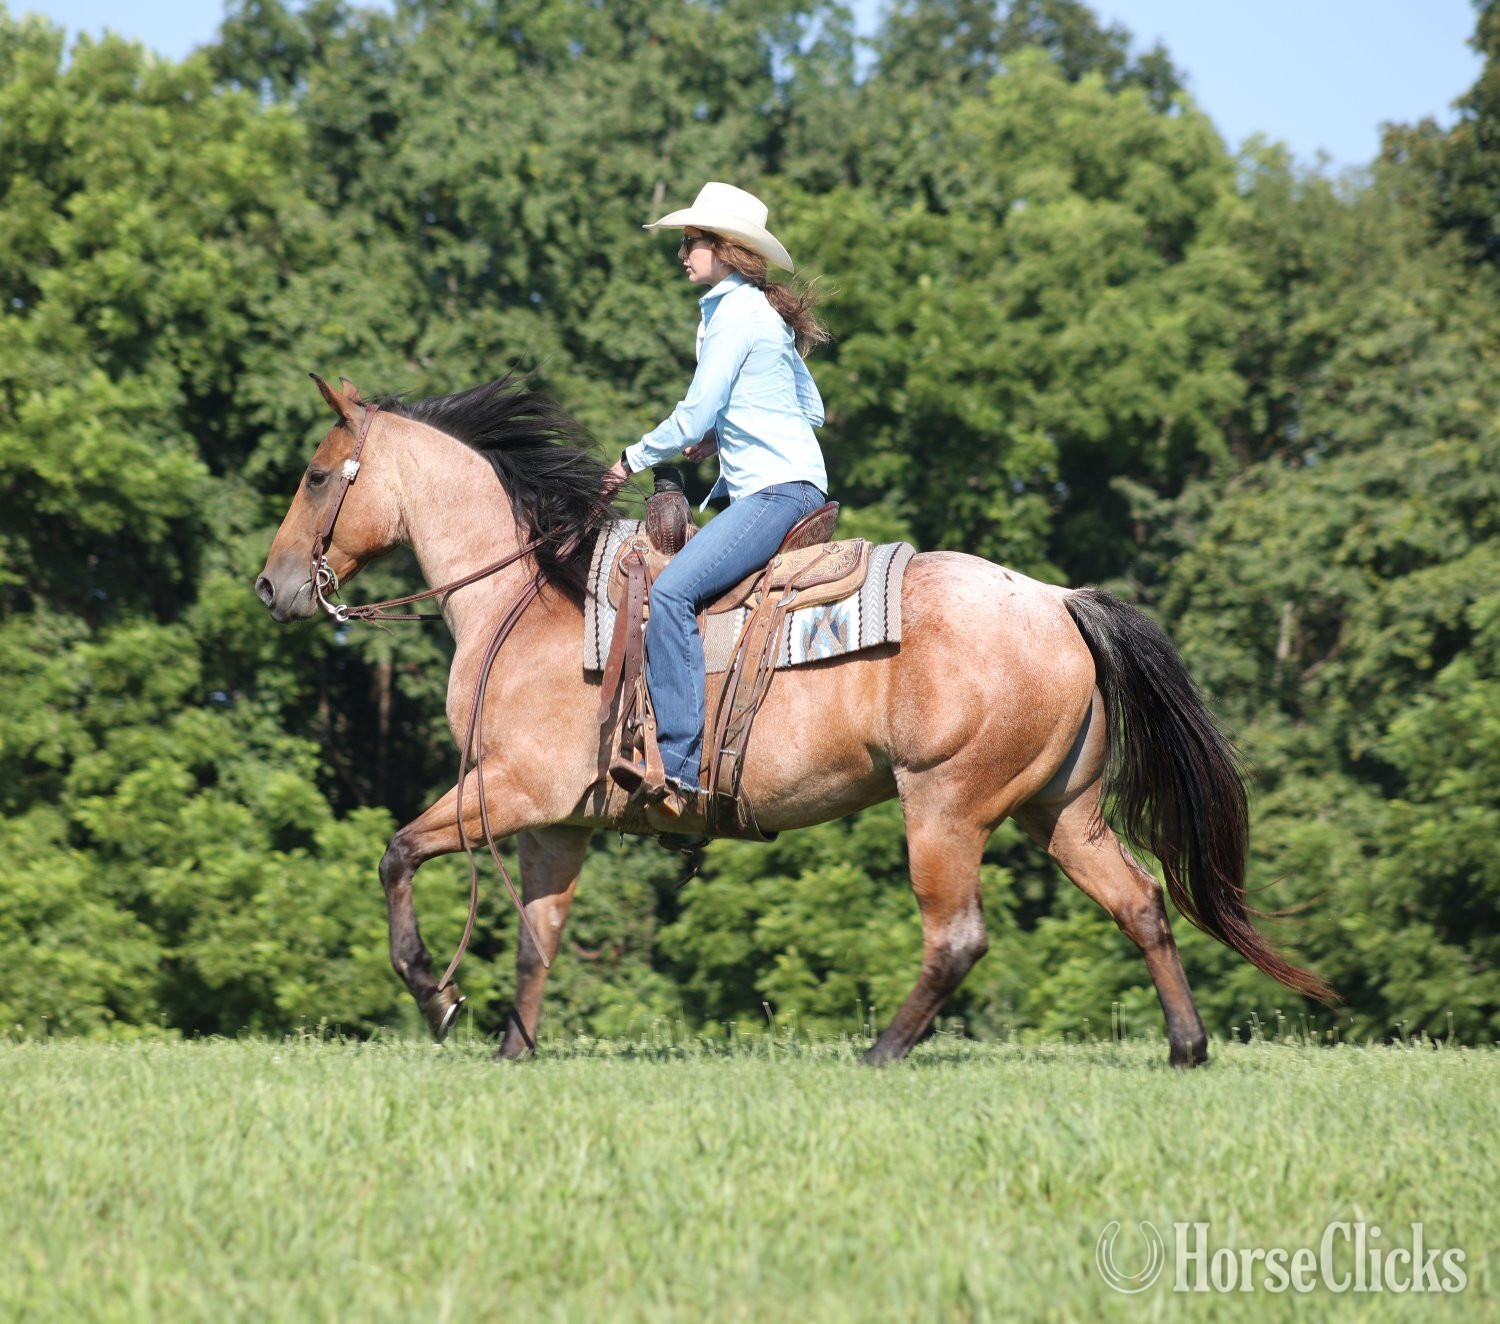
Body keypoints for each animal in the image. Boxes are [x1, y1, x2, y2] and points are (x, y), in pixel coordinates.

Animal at [255, 374, 1331, 1066]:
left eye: (314, 474)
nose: (271, 587)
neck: (528, 600)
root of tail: (1061, 599)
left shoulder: (507, 792)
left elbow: (397, 853)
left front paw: (434, 993)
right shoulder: (554, 821)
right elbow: (535, 939)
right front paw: (511, 1050)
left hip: (945, 809)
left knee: (958, 937)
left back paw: (881, 1051)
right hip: (1060, 811)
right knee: (1141, 902)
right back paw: (1186, 1047)